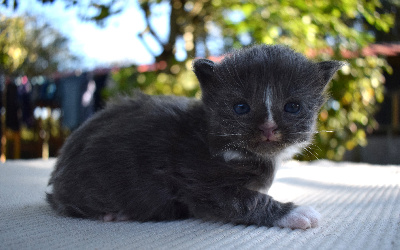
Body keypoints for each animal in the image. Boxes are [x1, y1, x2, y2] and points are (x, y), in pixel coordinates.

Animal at [46, 44, 340, 229]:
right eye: (241, 107)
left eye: (292, 107)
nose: (268, 128)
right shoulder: (197, 180)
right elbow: (247, 201)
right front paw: (296, 212)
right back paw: (113, 214)